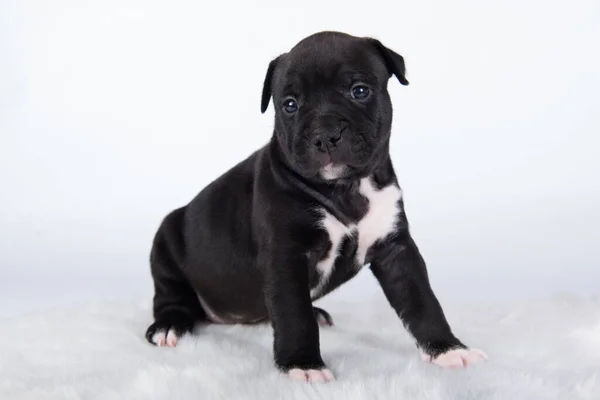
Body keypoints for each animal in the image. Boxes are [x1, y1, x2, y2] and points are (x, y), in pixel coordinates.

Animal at [146, 30, 488, 382]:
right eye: (290, 105)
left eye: (359, 91)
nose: (326, 134)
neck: (346, 188)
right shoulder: (286, 257)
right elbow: (294, 315)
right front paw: (303, 365)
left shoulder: (396, 250)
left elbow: (422, 301)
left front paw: (448, 349)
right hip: (165, 246)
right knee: (170, 296)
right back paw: (168, 326)